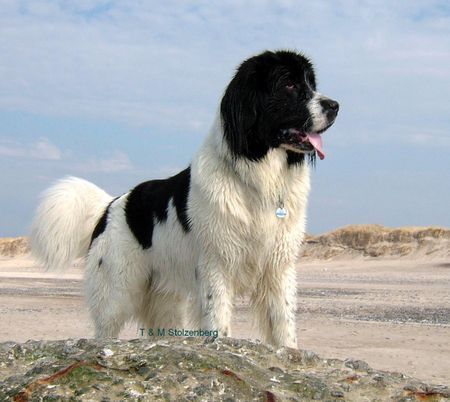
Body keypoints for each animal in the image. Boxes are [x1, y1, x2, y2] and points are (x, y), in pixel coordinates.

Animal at [30, 48, 338, 348]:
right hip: (117, 291)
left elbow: (284, 325)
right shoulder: (216, 264)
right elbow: (218, 319)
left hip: (167, 298)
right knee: (104, 329)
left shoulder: (278, 266)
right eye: (289, 84)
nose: (335, 105)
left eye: (311, 84)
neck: (260, 180)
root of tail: (110, 205)